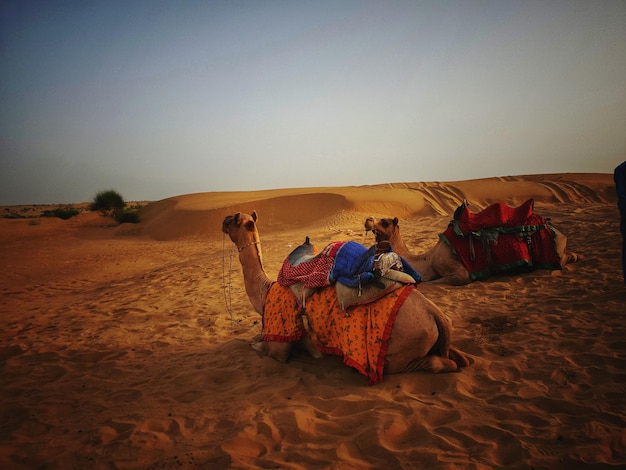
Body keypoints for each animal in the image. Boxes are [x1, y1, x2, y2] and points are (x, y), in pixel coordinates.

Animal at [221, 210, 468, 382]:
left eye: (234, 218)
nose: (223, 220)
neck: (265, 292)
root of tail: (435, 313)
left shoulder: (279, 344)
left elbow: (255, 346)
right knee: (457, 357)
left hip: (397, 353)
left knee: (436, 363)